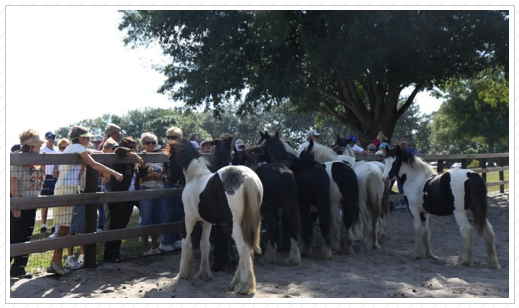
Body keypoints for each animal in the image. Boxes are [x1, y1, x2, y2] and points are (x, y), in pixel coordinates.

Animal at [167, 140, 264, 294]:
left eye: (170, 160)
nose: (169, 177)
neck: (195, 177)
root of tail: (248, 178)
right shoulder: (207, 223)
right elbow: (204, 244)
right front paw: (204, 274)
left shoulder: (188, 220)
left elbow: (186, 243)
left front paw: (183, 274)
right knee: (245, 250)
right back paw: (235, 282)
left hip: (234, 226)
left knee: (243, 248)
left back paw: (243, 286)